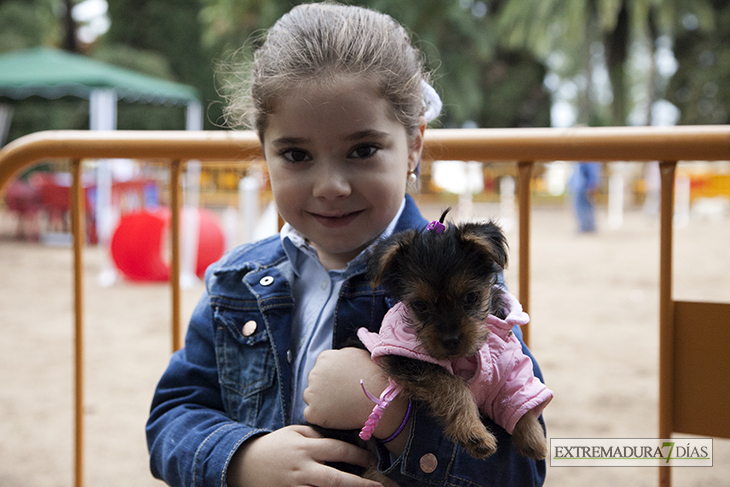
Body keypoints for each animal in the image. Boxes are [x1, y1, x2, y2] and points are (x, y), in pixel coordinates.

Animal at [358, 211, 552, 462]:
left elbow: (519, 398)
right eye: (420, 305)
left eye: (471, 297)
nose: (451, 340)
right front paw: (473, 433)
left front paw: (533, 439)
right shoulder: (412, 363)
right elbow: (453, 387)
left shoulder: (510, 369)